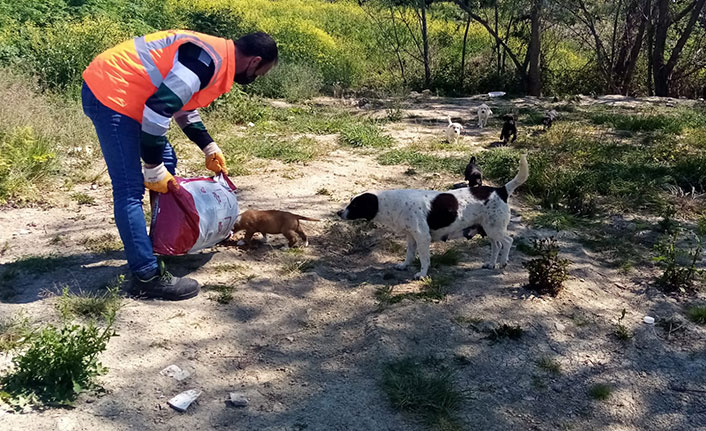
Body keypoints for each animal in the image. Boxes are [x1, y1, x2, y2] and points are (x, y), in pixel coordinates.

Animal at [336, 155, 528, 280]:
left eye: (355, 205)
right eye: (350, 201)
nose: (339, 213)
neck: (392, 203)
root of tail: (501, 190)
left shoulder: (422, 237)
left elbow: (424, 259)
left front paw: (422, 274)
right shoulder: (411, 237)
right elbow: (409, 255)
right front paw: (404, 266)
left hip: (494, 229)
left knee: (508, 241)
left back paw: (502, 262)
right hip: (489, 229)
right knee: (496, 245)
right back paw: (491, 263)